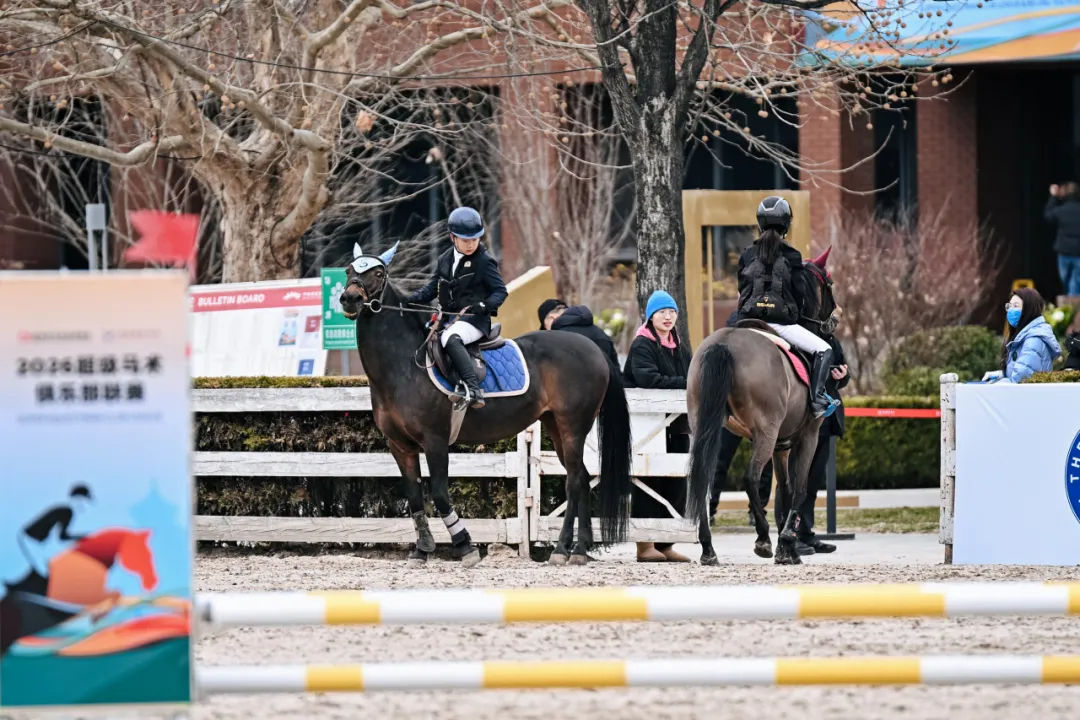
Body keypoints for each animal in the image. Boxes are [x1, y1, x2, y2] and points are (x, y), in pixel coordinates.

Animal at [339, 243, 633, 567]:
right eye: (349, 270)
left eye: (378, 273)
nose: (350, 298)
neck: (404, 364)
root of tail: (592, 348)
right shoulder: (400, 446)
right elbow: (415, 497)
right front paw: (422, 549)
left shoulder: (435, 440)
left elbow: (439, 495)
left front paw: (465, 546)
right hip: (555, 425)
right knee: (579, 476)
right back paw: (577, 549)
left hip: (573, 425)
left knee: (574, 481)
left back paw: (563, 549)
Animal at [685, 249, 839, 565]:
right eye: (829, 283)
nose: (835, 318)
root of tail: (724, 344)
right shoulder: (806, 437)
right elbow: (799, 488)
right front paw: (787, 542)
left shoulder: (781, 445)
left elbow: (786, 490)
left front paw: (788, 546)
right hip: (766, 434)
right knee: (750, 477)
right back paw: (763, 538)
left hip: (705, 428)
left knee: (703, 478)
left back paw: (708, 548)